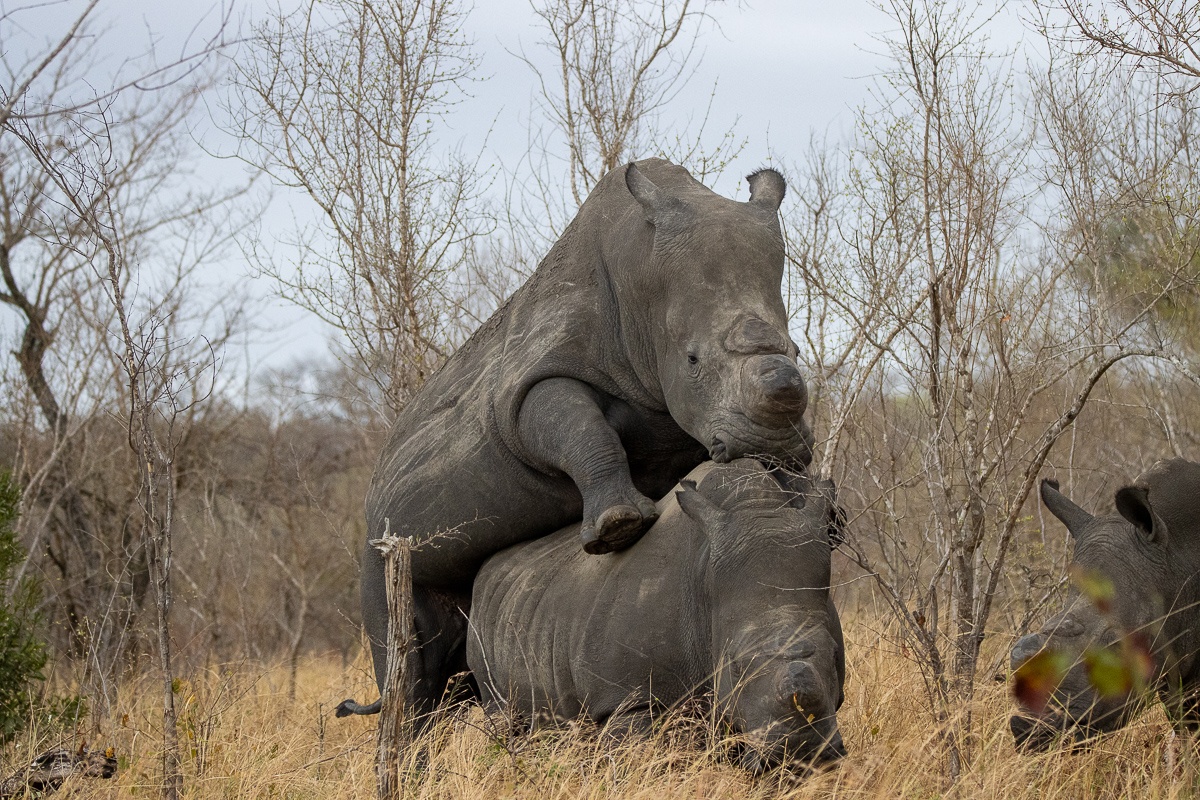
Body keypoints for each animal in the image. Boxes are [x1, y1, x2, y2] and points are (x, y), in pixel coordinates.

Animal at [340, 159, 815, 718]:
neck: (638, 278)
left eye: (797, 350)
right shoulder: (529, 382)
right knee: (409, 672)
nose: (772, 437)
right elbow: (577, 427)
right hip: (379, 550)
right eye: (692, 360)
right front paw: (617, 528)